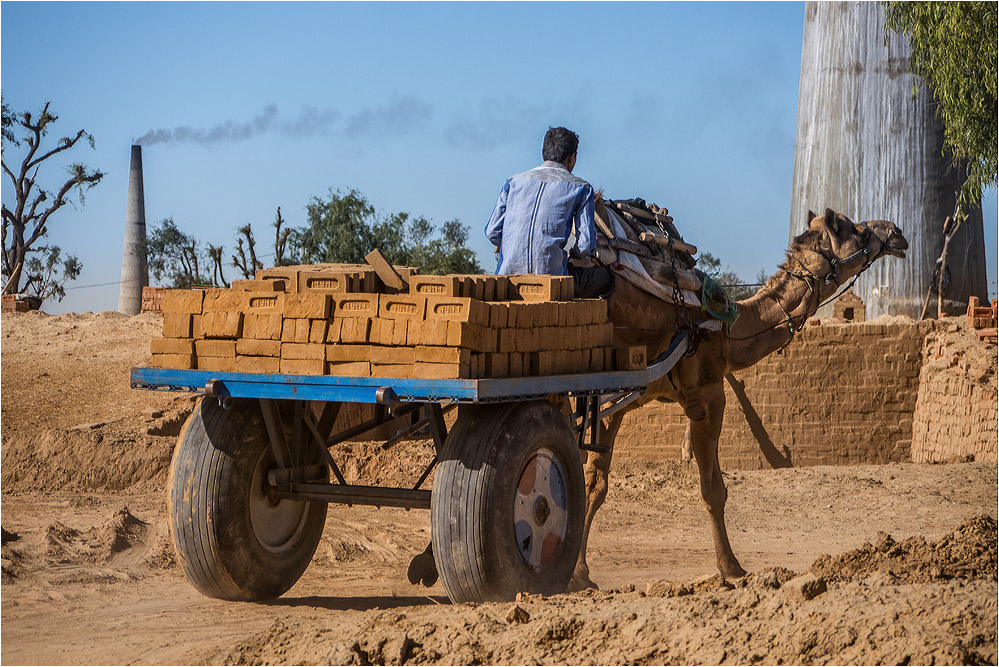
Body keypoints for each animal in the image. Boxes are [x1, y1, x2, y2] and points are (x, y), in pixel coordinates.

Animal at [572, 209, 908, 588]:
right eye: (856, 229)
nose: (896, 232)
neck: (729, 329)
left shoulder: (621, 399)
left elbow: (594, 483)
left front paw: (580, 573)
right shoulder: (707, 396)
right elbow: (713, 489)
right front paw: (731, 568)